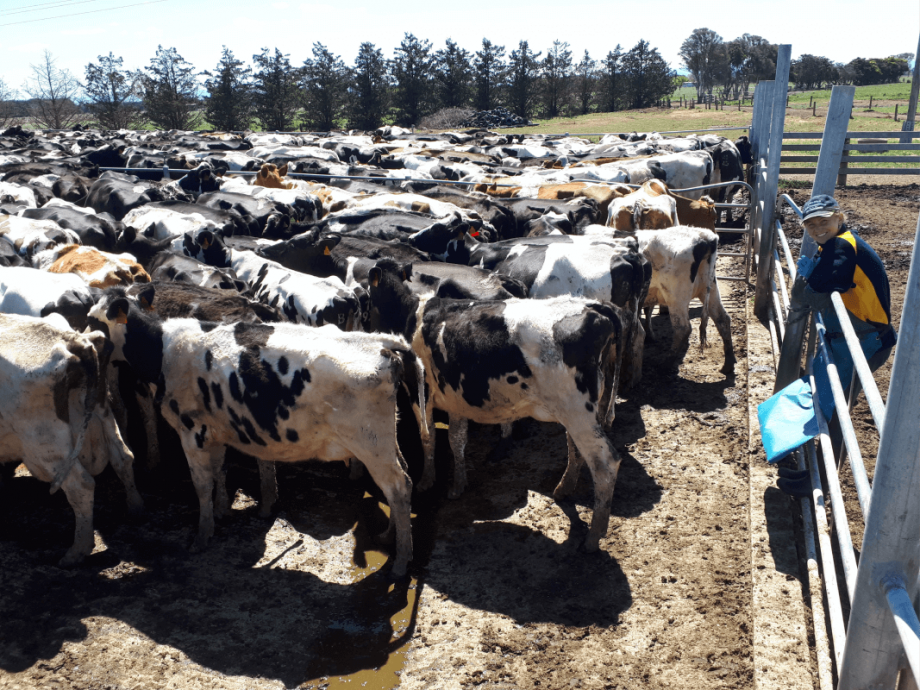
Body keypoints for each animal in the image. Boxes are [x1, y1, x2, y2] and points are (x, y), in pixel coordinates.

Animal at [0, 312, 142, 564]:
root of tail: (75, 341)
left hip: (46, 446)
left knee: (80, 485)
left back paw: (77, 551)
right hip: (102, 413)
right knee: (123, 457)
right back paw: (135, 508)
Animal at [86, 284, 416, 576]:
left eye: (92, 319)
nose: (84, 344)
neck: (163, 349)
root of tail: (380, 343)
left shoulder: (191, 432)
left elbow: (201, 484)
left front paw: (202, 535)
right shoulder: (215, 429)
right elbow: (219, 471)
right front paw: (221, 511)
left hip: (371, 445)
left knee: (398, 488)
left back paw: (401, 562)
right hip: (387, 441)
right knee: (404, 479)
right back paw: (389, 537)